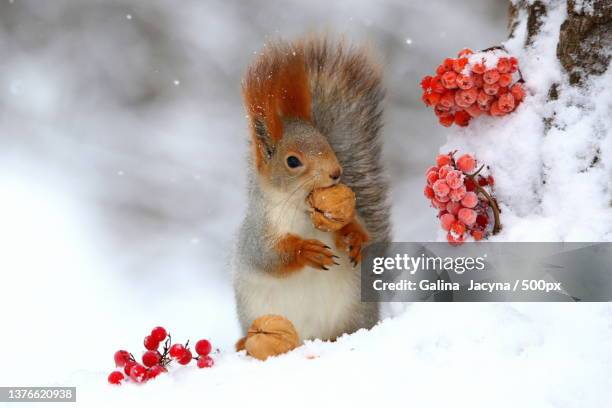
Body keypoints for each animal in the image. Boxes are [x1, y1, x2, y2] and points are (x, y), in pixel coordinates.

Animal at [232, 35, 390, 348]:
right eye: (293, 161)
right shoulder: (257, 232)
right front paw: (306, 251)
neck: (301, 208)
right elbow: (267, 257)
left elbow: (358, 228)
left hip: (354, 310)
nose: (336, 172)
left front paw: (353, 238)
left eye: (326, 142)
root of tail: (310, 338)